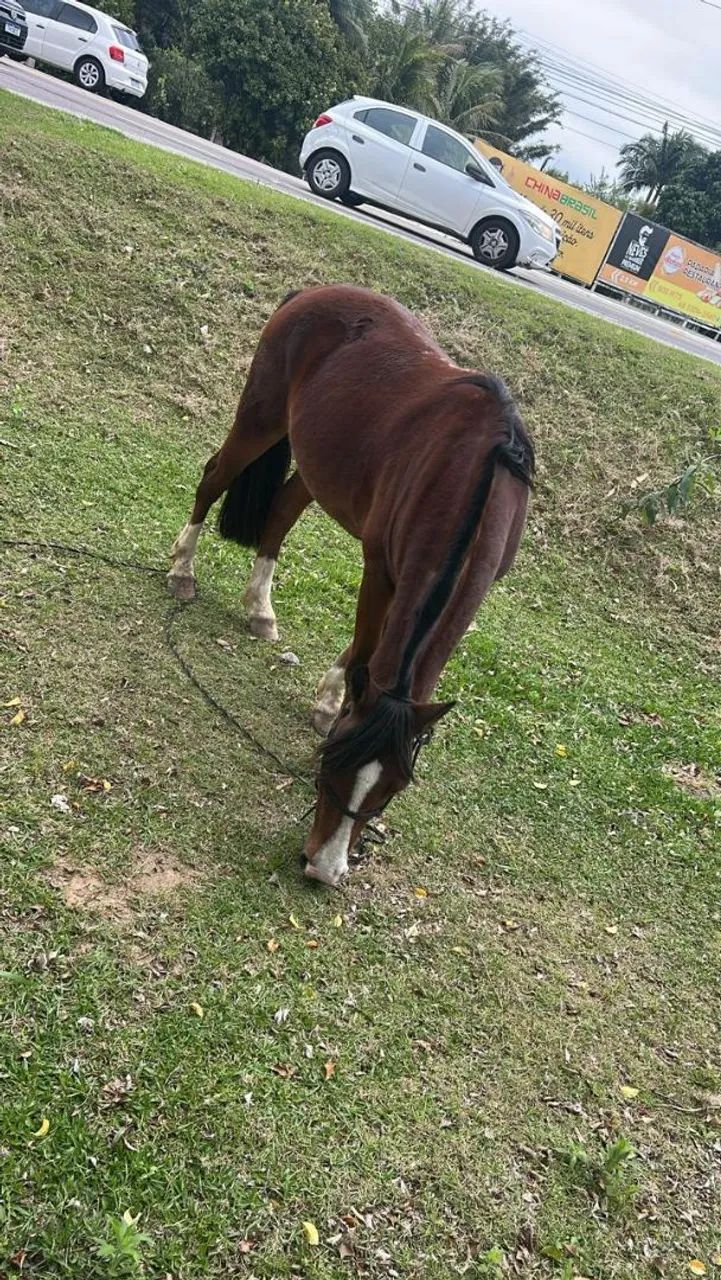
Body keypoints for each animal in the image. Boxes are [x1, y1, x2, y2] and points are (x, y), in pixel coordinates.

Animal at [168, 285, 534, 887]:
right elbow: (367, 647)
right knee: (214, 475)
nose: (323, 867)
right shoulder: (381, 567)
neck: (476, 474)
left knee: (283, 508)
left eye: (392, 789)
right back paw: (182, 570)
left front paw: (333, 693)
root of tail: (312, 292)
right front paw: (332, 701)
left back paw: (260, 608)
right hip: (262, 417)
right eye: (332, 763)